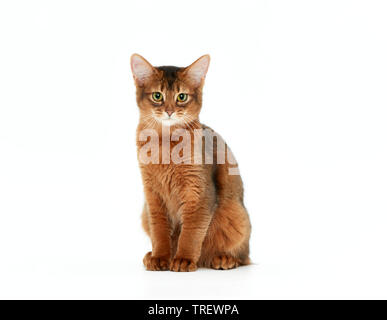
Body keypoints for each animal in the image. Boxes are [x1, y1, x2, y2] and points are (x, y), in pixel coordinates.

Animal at [130, 54, 252, 270]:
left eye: (182, 97)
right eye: (157, 96)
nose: (169, 111)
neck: (165, 144)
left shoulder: (199, 193)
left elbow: (191, 232)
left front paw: (184, 259)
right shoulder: (152, 196)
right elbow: (159, 231)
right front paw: (160, 257)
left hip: (236, 213)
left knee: (243, 255)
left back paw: (223, 259)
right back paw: (150, 255)